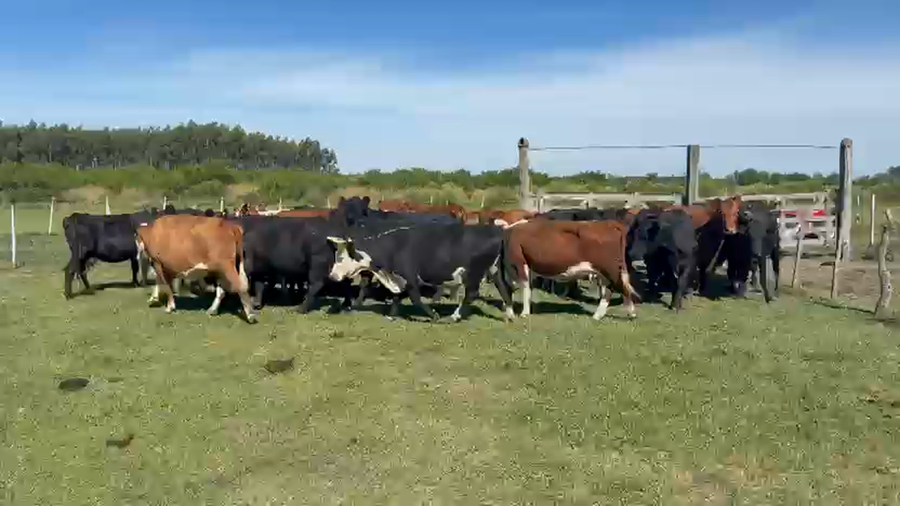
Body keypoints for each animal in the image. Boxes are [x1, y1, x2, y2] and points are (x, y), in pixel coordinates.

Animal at [326, 223, 514, 322]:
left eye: (341, 258)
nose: (331, 276)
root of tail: (494, 229)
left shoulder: (410, 277)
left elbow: (415, 298)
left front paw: (434, 315)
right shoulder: (398, 277)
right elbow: (396, 296)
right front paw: (391, 316)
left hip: (474, 273)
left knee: (472, 294)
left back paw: (455, 316)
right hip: (494, 269)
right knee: (504, 289)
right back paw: (510, 315)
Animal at [499, 219, 638, 320]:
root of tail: (609, 223)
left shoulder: (519, 263)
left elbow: (525, 288)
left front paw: (524, 313)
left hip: (610, 269)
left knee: (621, 288)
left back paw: (631, 313)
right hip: (604, 272)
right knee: (609, 290)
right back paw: (597, 315)